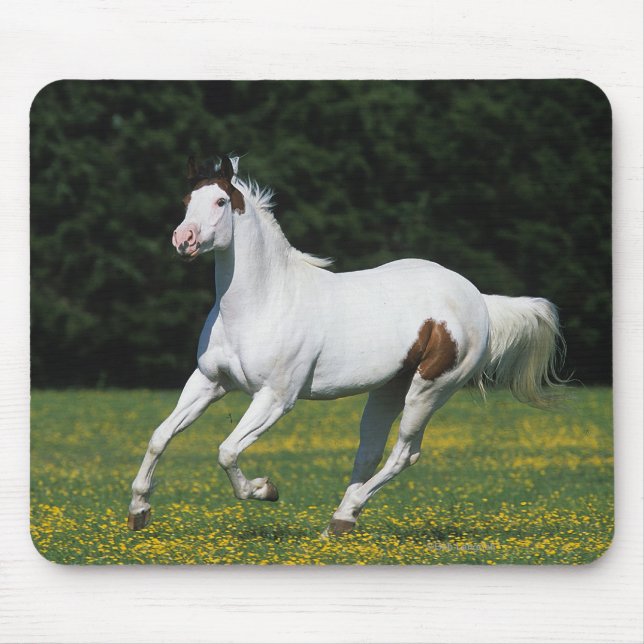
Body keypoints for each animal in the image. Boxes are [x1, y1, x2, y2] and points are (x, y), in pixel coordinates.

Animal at [127, 155, 565, 536]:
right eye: (186, 201)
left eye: (220, 201)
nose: (183, 239)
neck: (262, 303)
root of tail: (478, 299)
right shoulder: (208, 382)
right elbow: (160, 436)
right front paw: (139, 511)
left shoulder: (275, 398)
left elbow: (227, 450)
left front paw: (266, 489)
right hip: (389, 389)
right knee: (369, 451)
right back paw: (341, 520)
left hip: (430, 390)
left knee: (404, 453)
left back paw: (344, 515)